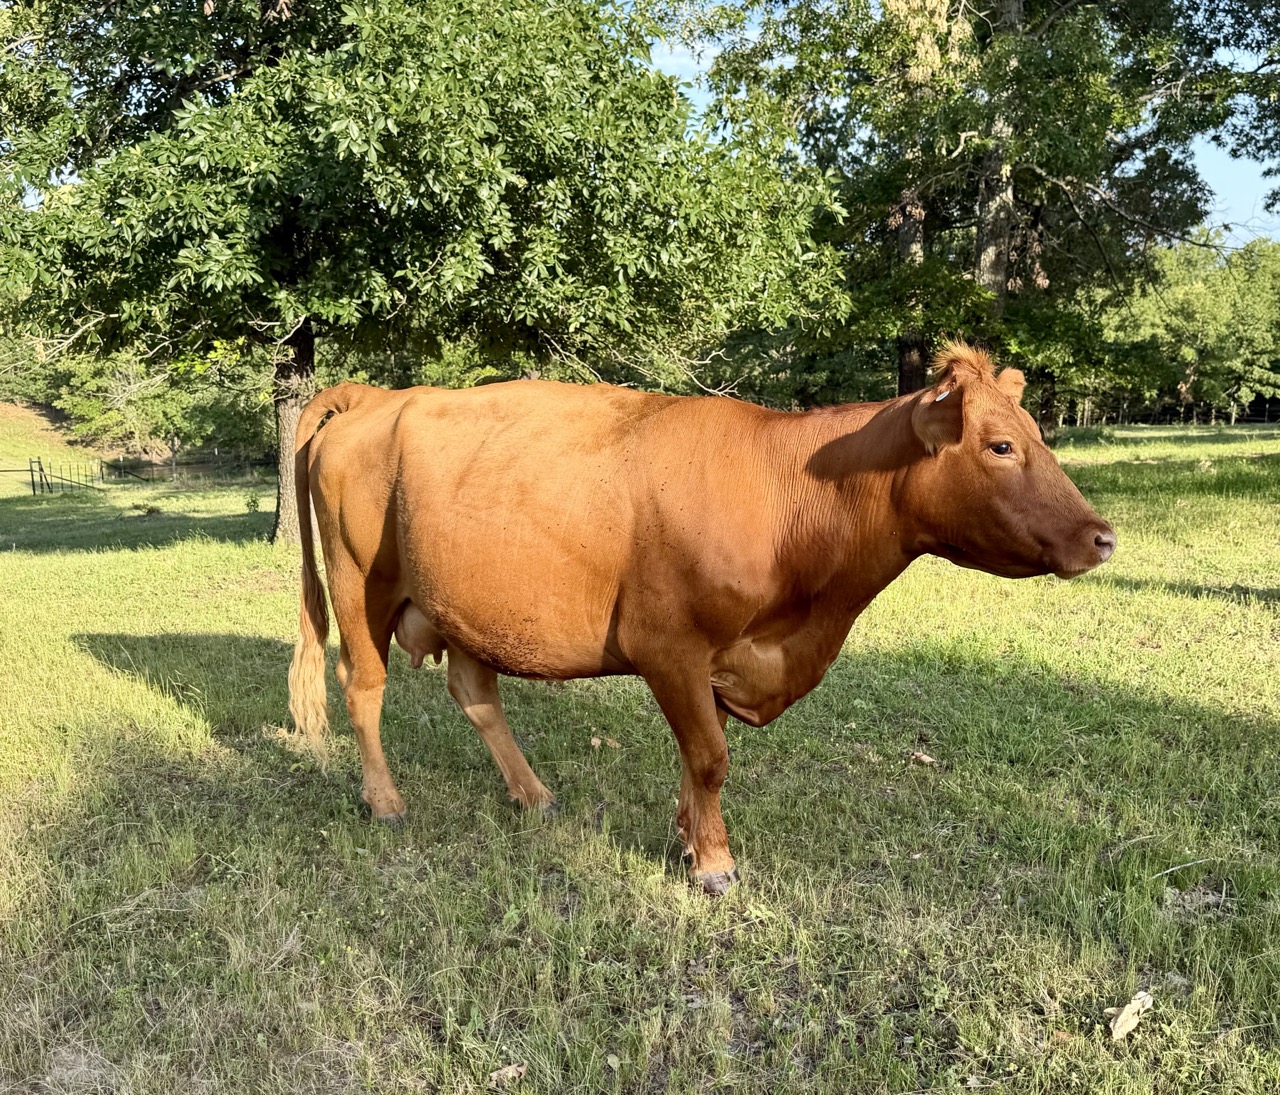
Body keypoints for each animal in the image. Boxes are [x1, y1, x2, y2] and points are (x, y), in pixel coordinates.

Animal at [287, 342, 1115, 895]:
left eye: (1037, 435)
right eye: (1000, 445)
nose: (1103, 536)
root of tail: (379, 396)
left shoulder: (720, 659)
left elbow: (696, 758)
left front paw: (689, 838)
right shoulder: (670, 646)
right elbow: (711, 756)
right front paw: (715, 864)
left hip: (462, 601)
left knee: (474, 692)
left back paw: (533, 793)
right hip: (362, 583)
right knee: (363, 686)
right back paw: (386, 801)